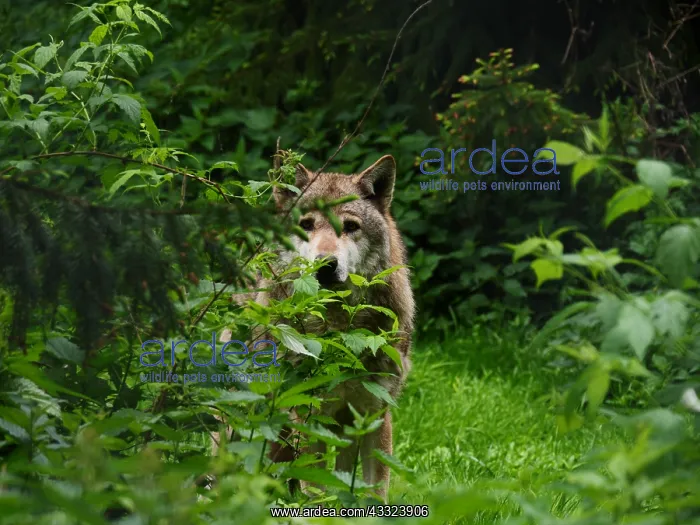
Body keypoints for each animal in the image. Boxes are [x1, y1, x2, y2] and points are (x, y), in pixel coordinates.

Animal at [212, 155, 414, 500]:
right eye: (306, 225)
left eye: (350, 227)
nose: (325, 265)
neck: (338, 327)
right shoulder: (307, 414)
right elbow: (314, 489)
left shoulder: (375, 414)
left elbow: (375, 491)